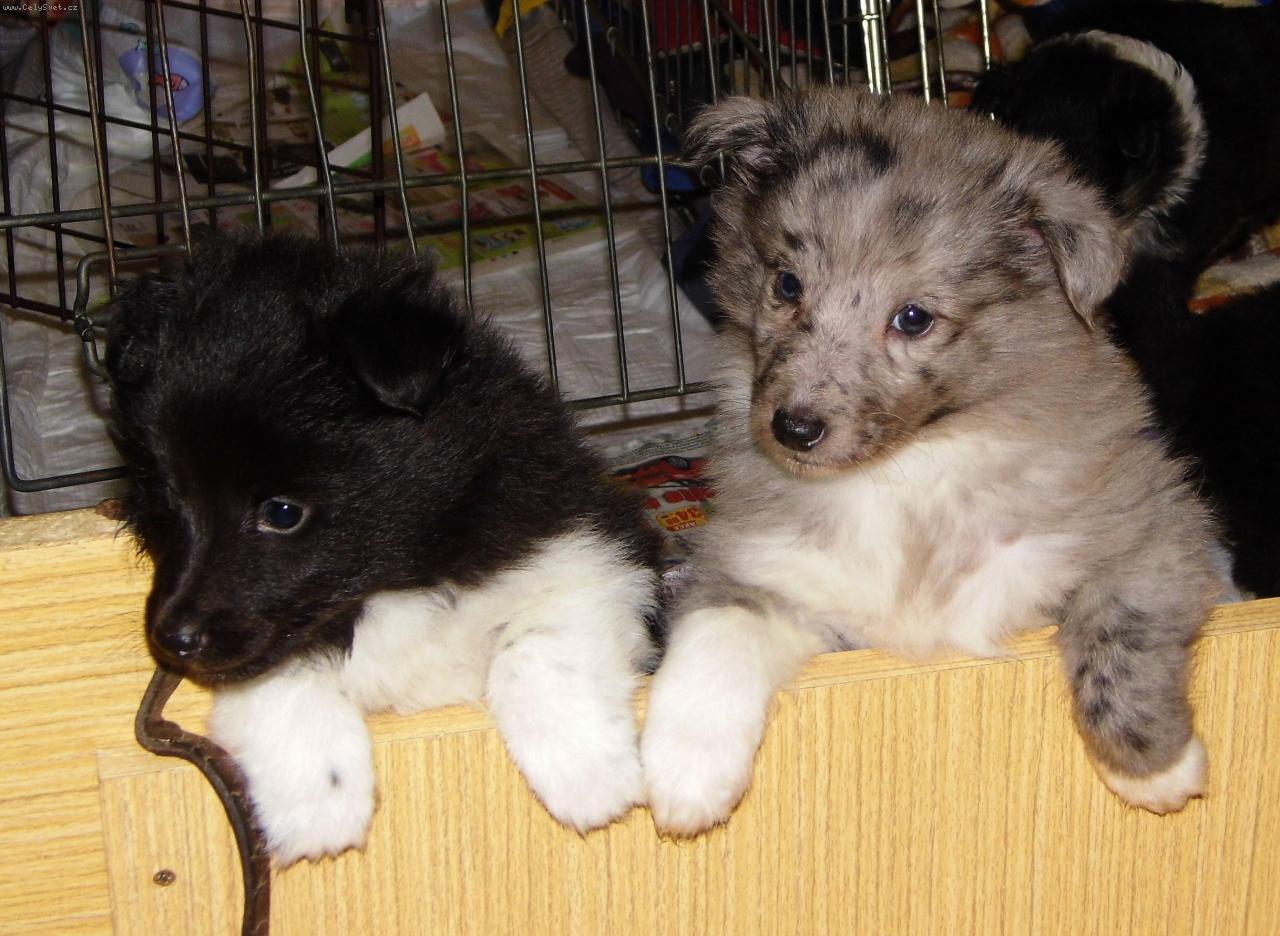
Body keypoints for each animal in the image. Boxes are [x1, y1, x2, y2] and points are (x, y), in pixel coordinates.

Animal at [105, 234, 661, 863]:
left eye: (282, 512)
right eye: (163, 494)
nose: (174, 640)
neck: (391, 583)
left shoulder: (592, 544)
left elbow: (536, 645)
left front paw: (587, 774)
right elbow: (280, 674)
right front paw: (320, 802)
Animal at [639, 89, 1222, 837]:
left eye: (914, 318)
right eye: (788, 284)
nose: (793, 430)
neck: (905, 471)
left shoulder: (1153, 525)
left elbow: (1121, 629)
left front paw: (1154, 767)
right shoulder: (770, 566)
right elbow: (718, 628)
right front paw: (683, 774)